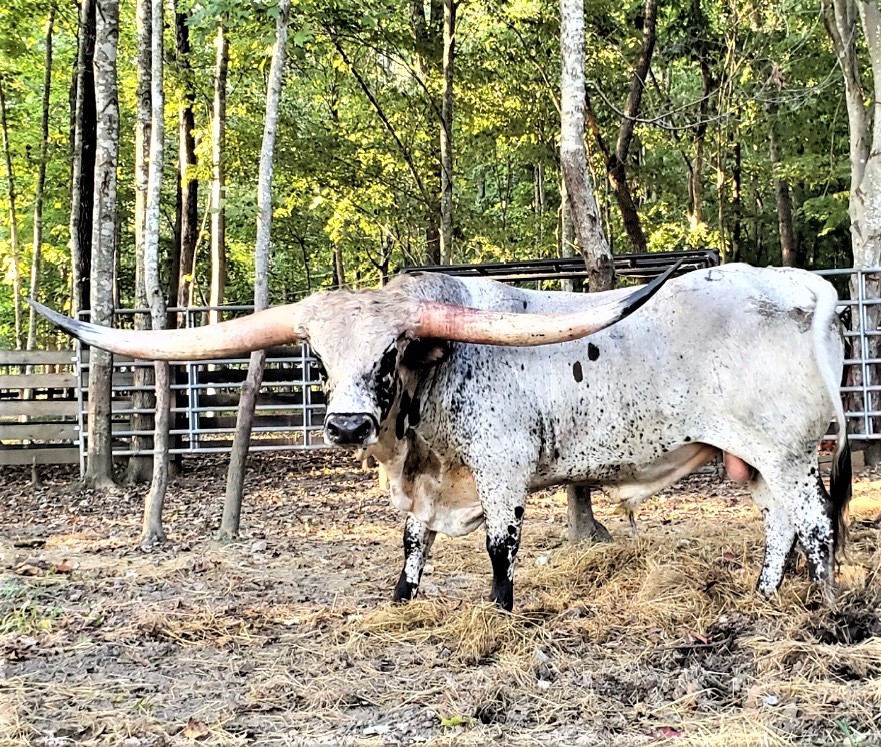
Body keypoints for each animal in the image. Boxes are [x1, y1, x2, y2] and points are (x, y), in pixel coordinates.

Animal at [32, 263, 851, 611]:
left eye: (393, 349)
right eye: (317, 356)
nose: (347, 423)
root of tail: (809, 286)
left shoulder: (501, 467)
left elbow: (499, 546)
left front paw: (499, 611)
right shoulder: (423, 483)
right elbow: (413, 543)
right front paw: (401, 599)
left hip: (788, 451)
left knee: (814, 526)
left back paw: (823, 611)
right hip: (754, 458)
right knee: (778, 524)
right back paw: (763, 596)